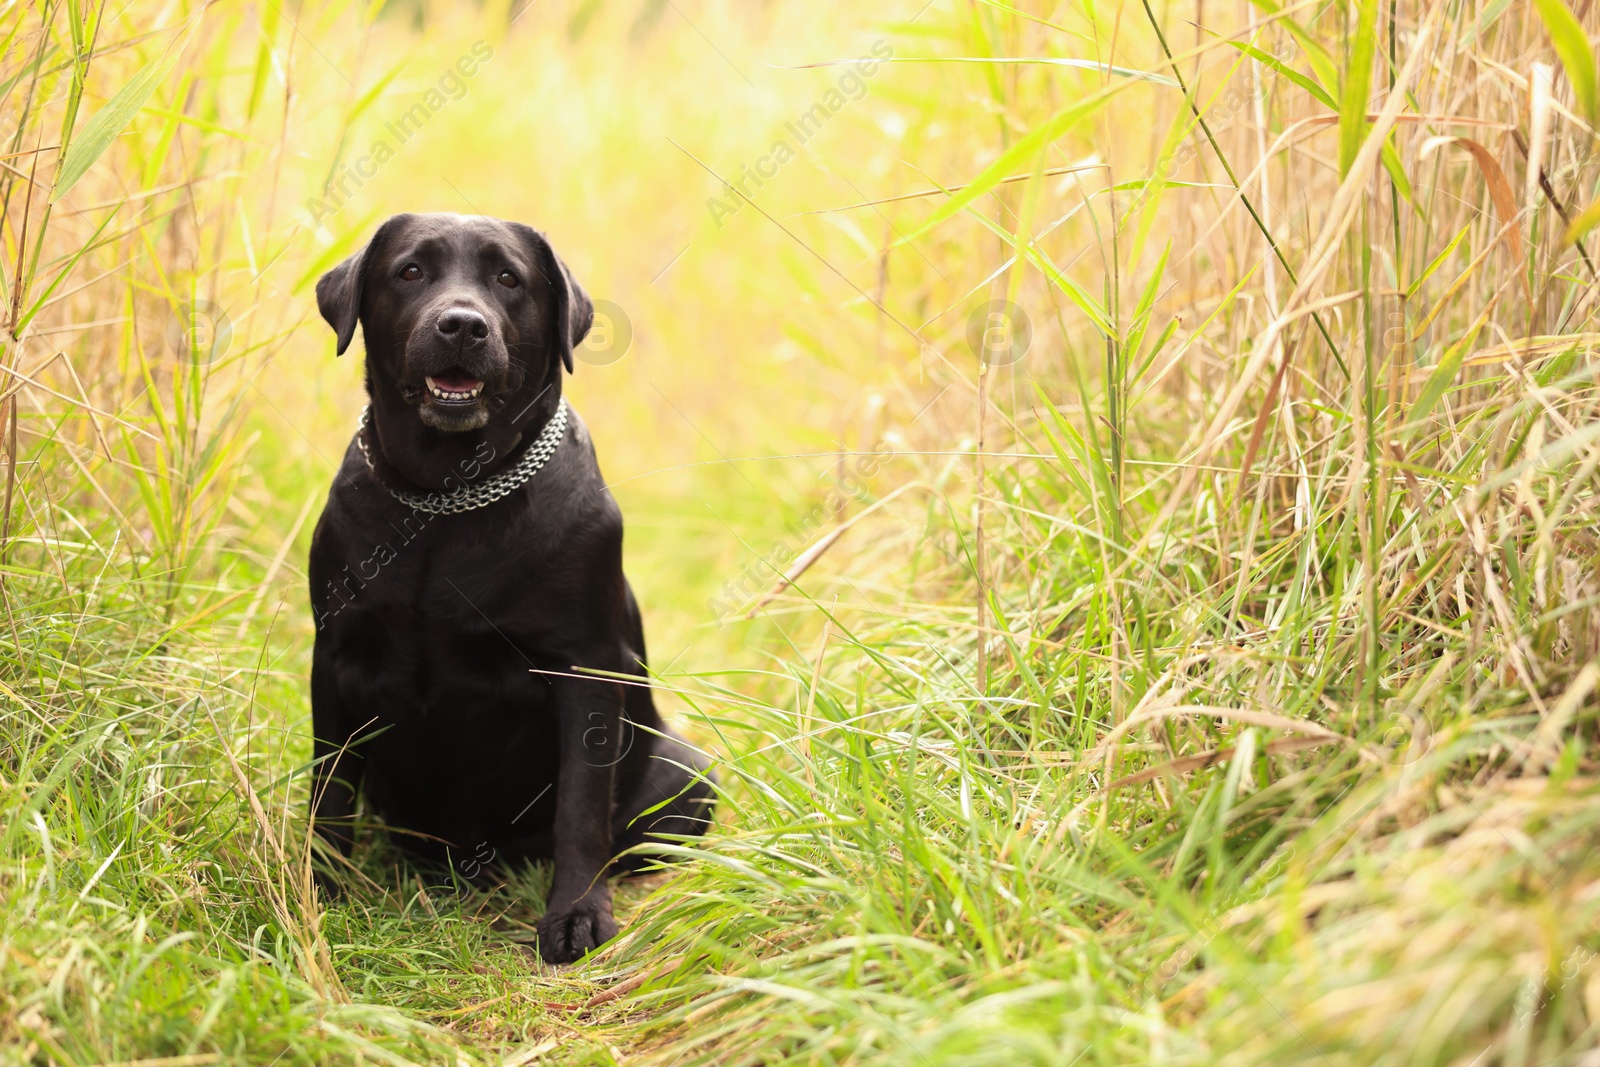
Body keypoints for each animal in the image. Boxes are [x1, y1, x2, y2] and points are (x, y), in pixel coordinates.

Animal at [304, 212, 713, 966]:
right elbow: (330, 791)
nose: (462, 325)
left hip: (689, 768)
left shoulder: (585, 668)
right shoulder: (336, 658)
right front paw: (319, 888)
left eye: (508, 278)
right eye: (410, 271)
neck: (444, 501)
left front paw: (577, 914)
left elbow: (581, 806)